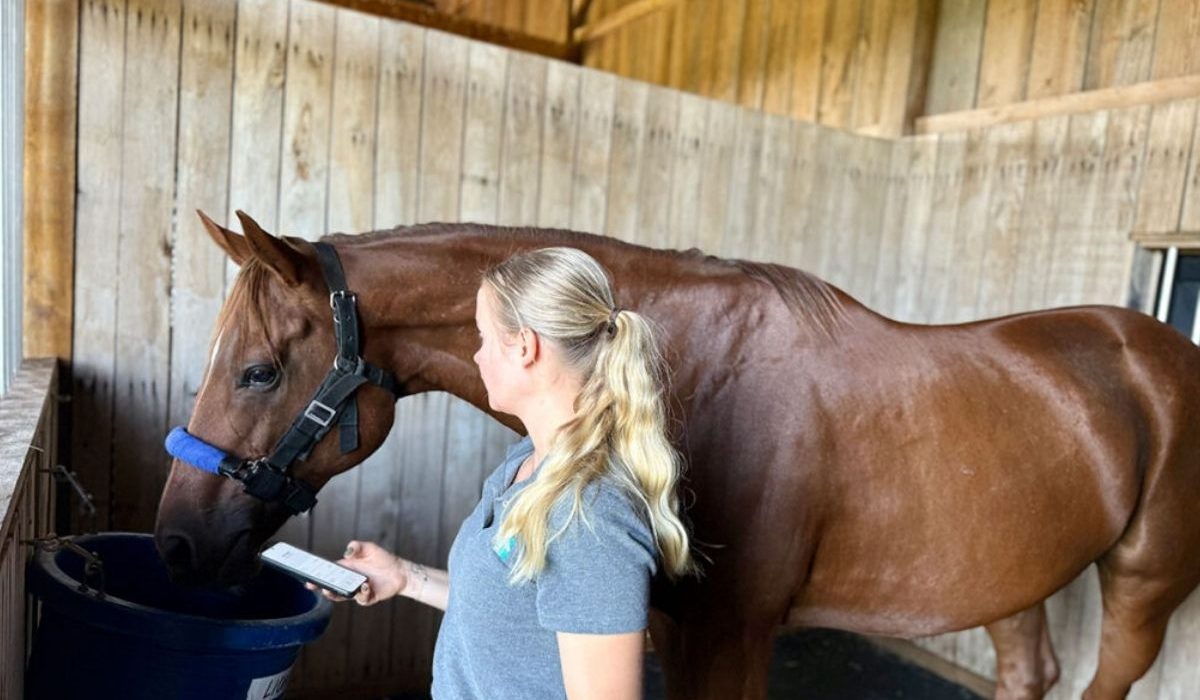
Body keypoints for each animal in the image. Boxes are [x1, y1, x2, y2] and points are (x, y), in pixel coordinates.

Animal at [154, 210, 1200, 700]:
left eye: (256, 371)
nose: (173, 542)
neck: (691, 368)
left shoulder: (730, 637)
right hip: (1019, 577)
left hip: (1142, 590)